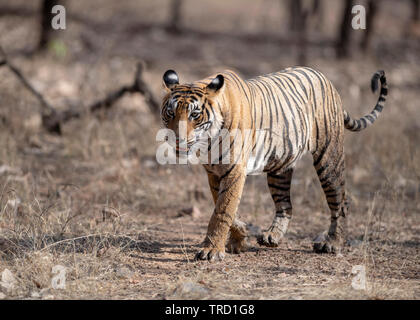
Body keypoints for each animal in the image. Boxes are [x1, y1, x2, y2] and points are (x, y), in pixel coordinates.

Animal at [161, 66, 388, 262]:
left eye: (194, 115)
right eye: (171, 113)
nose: (177, 139)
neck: (209, 140)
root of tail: (324, 77)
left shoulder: (234, 171)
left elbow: (222, 211)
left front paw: (211, 250)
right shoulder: (214, 173)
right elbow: (226, 207)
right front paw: (240, 237)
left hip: (328, 159)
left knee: (340, 202)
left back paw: (333, 243)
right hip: (280, 168)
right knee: (286, 205)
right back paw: (273, 236)